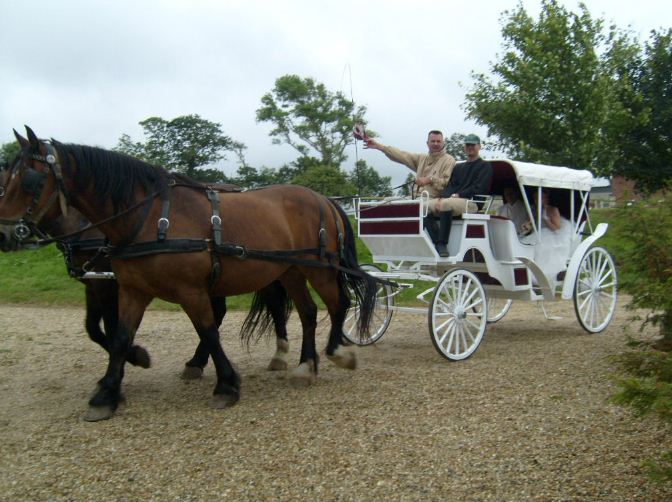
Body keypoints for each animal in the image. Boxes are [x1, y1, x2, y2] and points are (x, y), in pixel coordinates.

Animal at [1, 127, 378, 422]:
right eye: (7, 180)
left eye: (29, 180)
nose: (5, 234)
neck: (149, 217)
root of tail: (323, 198)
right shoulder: (131, 290)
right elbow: (118, 336)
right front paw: (107, 392)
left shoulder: (189, 290)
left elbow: (208, 331)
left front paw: (226, 384)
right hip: (290, 270)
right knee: (308, 312)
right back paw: (304, 365)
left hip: (319, 268)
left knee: (337, 304)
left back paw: (336, 353)